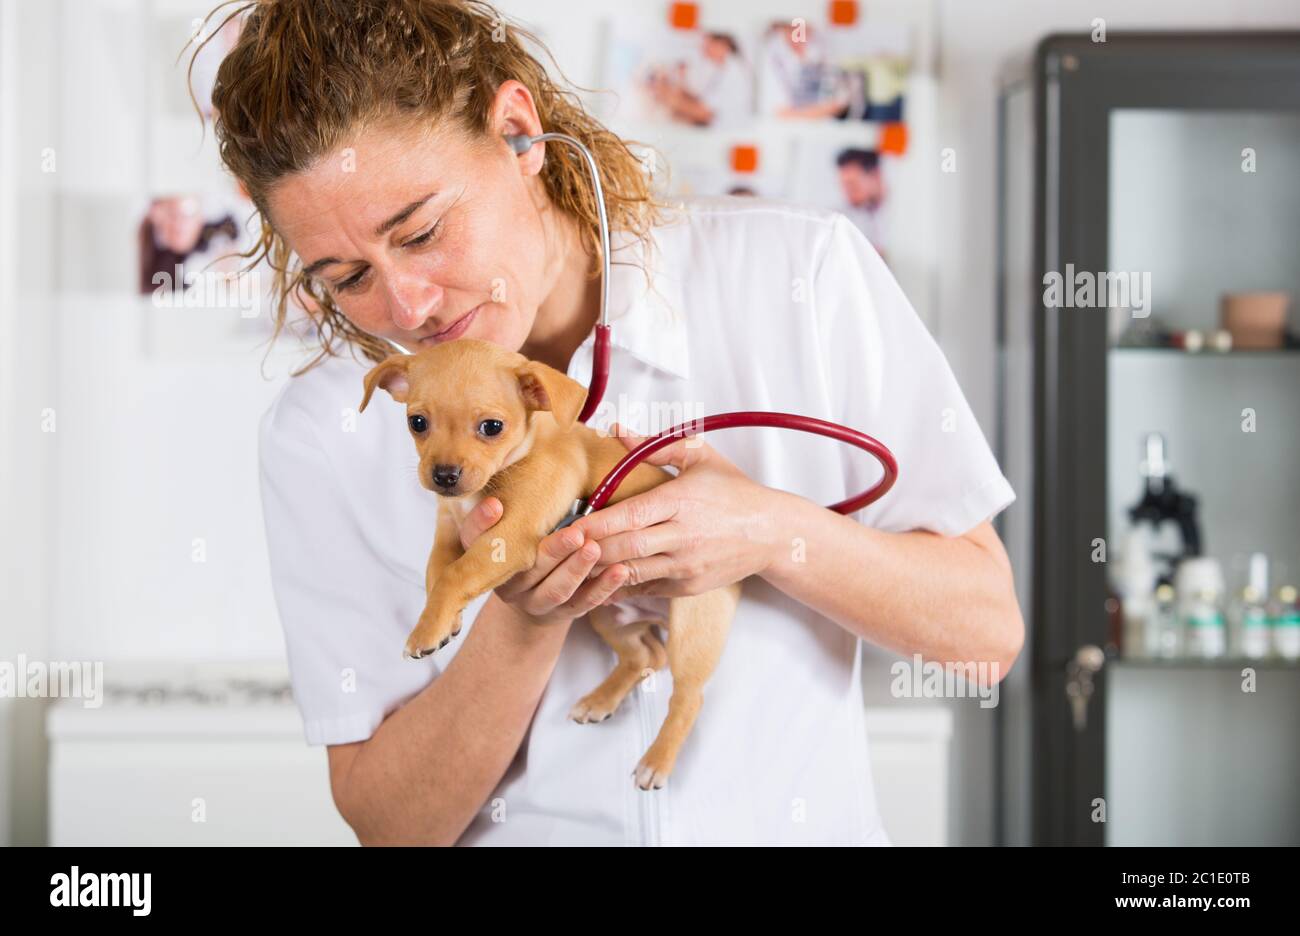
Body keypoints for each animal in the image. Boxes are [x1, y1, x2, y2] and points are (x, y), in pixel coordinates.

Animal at [356, 340, 743, 785]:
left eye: (492, 427)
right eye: (417, 422)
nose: (445, 476)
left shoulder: (509, 537)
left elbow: (456, 574)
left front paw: (424, 632)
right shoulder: (448, 533)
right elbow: (436, 574)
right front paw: (440, 623)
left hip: (692, 631)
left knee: (688, 696)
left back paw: (656, 761)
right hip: (607, 615)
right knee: (644, 657)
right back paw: (600, 700)